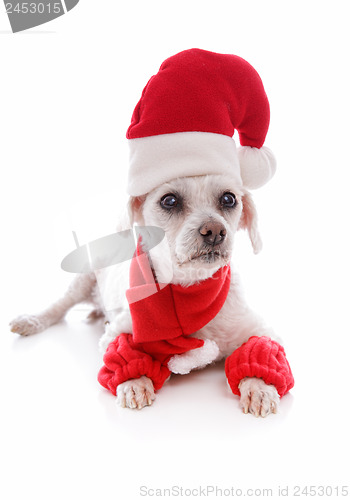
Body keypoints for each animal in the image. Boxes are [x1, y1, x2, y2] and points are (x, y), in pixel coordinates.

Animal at [9, 174, 280, 416]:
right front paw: (136, 381)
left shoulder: (256, 328)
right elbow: (125, 353)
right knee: (58, 307)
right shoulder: (121, 329)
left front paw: (259, 387)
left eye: (228, 198)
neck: (189, 294)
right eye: (169, 200)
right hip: (83, 280)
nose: (214, 230)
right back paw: (32, 320)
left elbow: (259, 351)